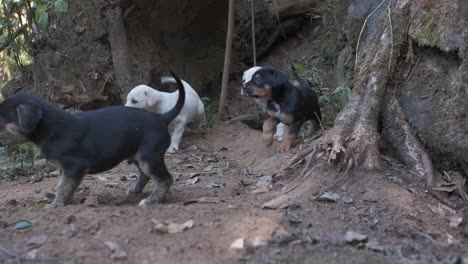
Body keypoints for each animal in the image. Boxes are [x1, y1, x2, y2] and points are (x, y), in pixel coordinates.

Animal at [0, 71, 186, 207]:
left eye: (1, 121)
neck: (50, 127)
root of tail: (161, 118)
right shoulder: (65, 169)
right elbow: (63, 185)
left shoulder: (74, 166)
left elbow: (63, 186)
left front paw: (56, 205)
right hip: (139, 156)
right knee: (146, 175)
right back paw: (135, 190)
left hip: (148, 156)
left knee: (165, 179)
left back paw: (150, 201)